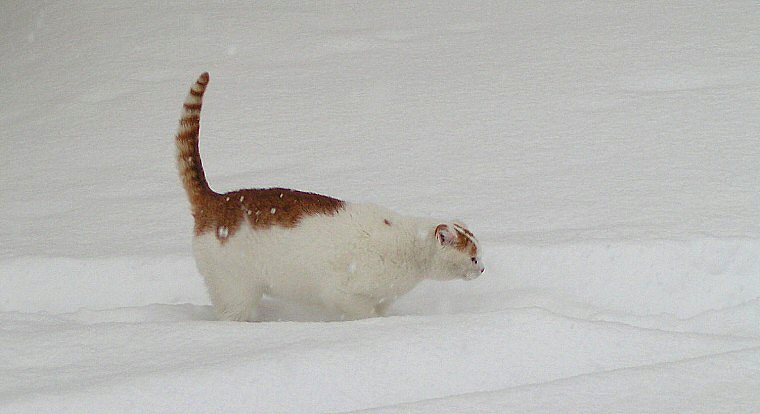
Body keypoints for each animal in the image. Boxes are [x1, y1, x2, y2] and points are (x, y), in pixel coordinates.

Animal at [175, 73, 484, 322]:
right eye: (472, 258)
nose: (482, 269)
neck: (410, 246)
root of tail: (214, 199)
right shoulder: (342, 293)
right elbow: (363, 314)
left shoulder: (382, 297)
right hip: (237, 289)